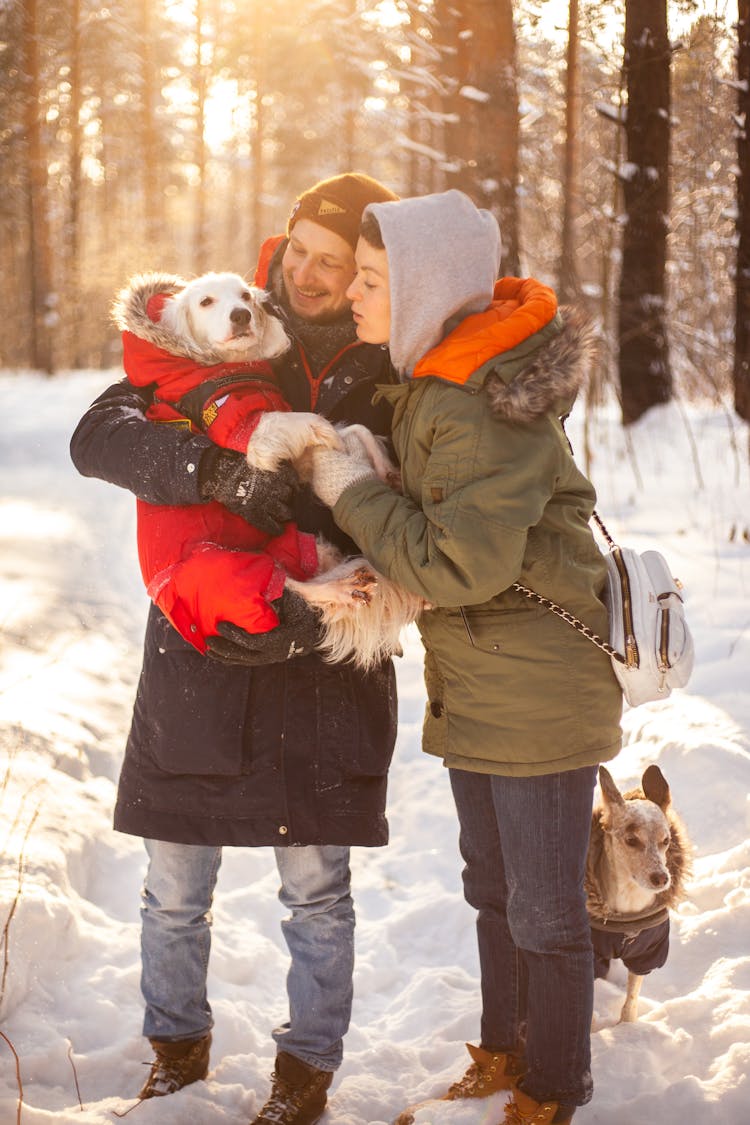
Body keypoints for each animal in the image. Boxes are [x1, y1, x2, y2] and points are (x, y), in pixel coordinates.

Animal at [584, 765, 692, 1021]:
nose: (662, 878)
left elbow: (631, 999)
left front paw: (628, 1024)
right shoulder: (592, 954)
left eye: (666, 840)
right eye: (631, 840)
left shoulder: (648, 954)